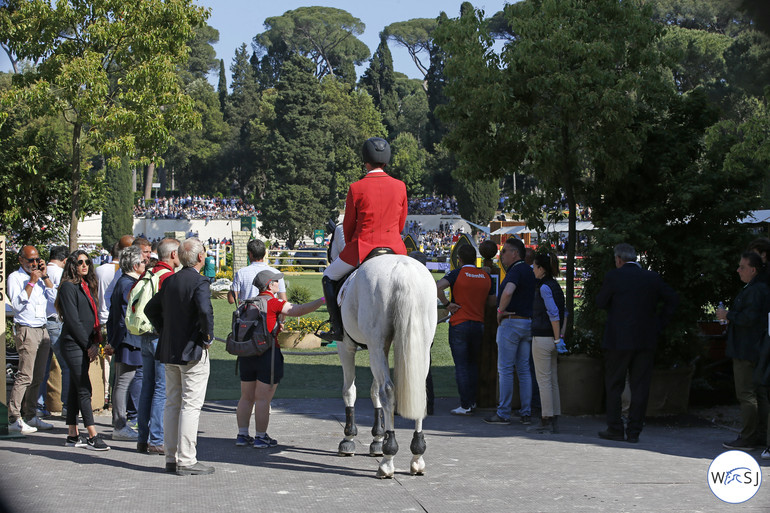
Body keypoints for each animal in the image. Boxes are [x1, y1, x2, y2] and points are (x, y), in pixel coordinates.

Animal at [328, 228, 438, 476]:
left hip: (374, 345)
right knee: (416, 388)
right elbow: (373, 391)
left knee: (388, 390)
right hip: (417, 344)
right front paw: (377, 439)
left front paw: (349, 438)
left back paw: (388, 459)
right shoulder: (379, 348)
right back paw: (417, 454)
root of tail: (403, 271)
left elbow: (351, 390)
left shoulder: (346, 347)